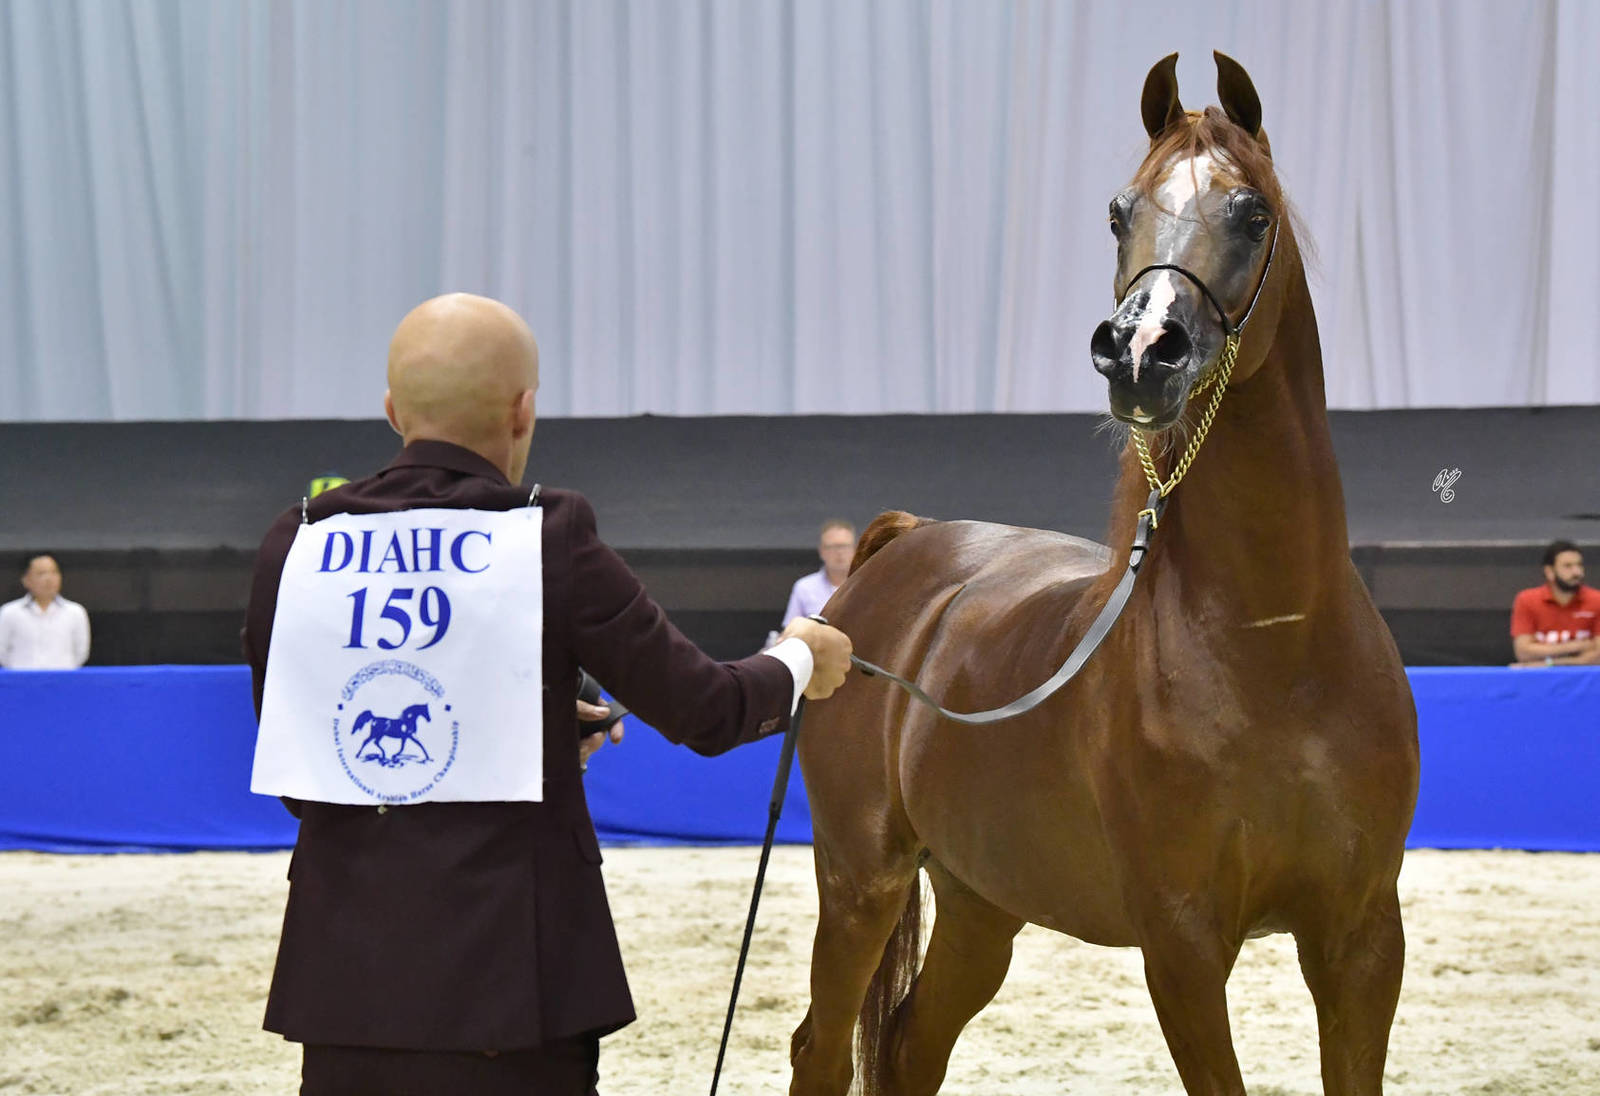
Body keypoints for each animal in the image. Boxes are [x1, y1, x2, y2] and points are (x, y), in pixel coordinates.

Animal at [787, 52, 1419, 1096]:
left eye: (1253, 213)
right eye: (1120, 213)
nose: (1137, 350)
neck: (1274, 647)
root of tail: (902, 551)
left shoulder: (1362, 935)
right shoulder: (1182, 944)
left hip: (980, 904)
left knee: (912, 1044)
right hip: (859, 882)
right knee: (823, 1047)